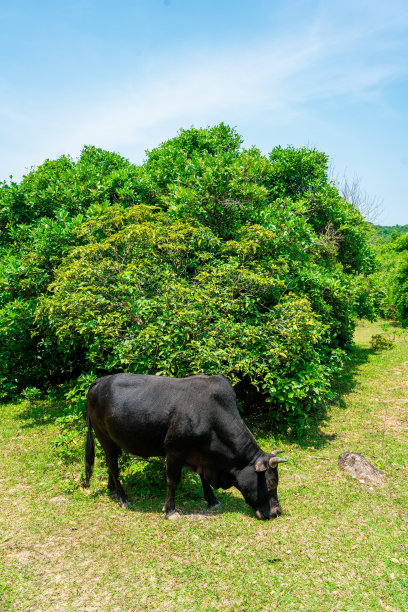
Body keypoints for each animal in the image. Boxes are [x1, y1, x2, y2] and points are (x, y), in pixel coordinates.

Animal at [85, 370, 286, 520]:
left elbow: (204, 479)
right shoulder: (175, 451)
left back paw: (112, 490)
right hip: (103, 435)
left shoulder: (202, 456)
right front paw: (170, 510)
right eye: (271, 483)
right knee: (113, 466)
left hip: (112, 440)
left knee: (110, 464)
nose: (277, 512)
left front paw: (212, 500)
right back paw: (123, 499)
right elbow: (172, 481)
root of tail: (99, 380)